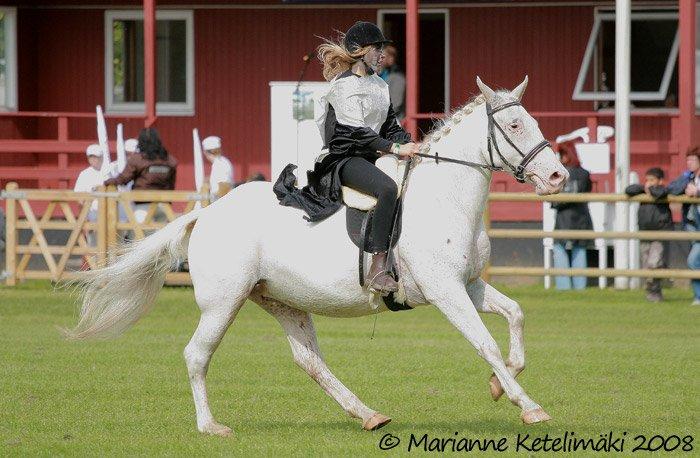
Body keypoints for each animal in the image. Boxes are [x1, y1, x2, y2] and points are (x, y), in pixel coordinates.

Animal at [65, 78, 568, 436]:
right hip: (224, 303)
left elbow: (516, 315)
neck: (445, 199)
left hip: (282, 301)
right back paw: (211, 426)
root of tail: (207, 212)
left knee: (310, 361)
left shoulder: (468, 285)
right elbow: (485, 343)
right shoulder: (446, 291)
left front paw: (500, 384)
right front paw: (530, 407)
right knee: (197, 354)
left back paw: (367, 414)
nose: (558, 176)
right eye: (515, 126)